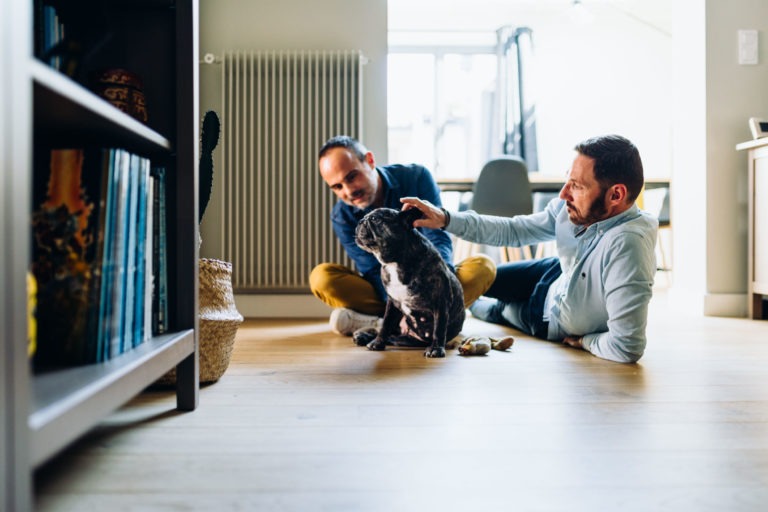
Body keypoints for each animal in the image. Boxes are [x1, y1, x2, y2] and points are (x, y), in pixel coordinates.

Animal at [352, 206, 464, 358]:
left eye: (375, 219)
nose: (360, 221)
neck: (395, 261)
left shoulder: (440, 302)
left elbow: (439, 328)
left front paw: (435, 349)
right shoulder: (392, 304)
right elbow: (385, 324)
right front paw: (377, 343)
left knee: (395, 337)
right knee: (391, 333)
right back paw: (364, 336)